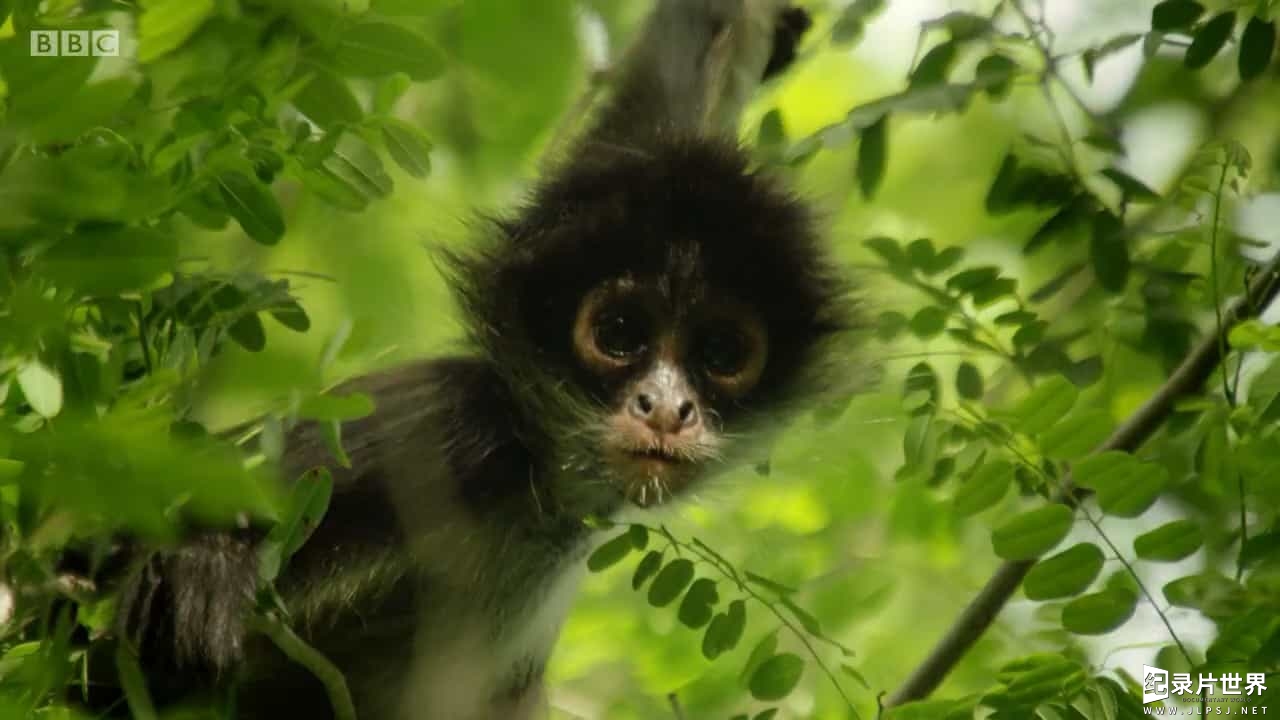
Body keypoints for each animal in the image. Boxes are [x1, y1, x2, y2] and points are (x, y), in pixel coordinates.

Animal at [107, 1, 849, 717]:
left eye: (720, 352)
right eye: (618, 334)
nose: (666, 409)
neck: (544, 487)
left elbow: (660, 93)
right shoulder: (451, 431)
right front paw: (200, 565)